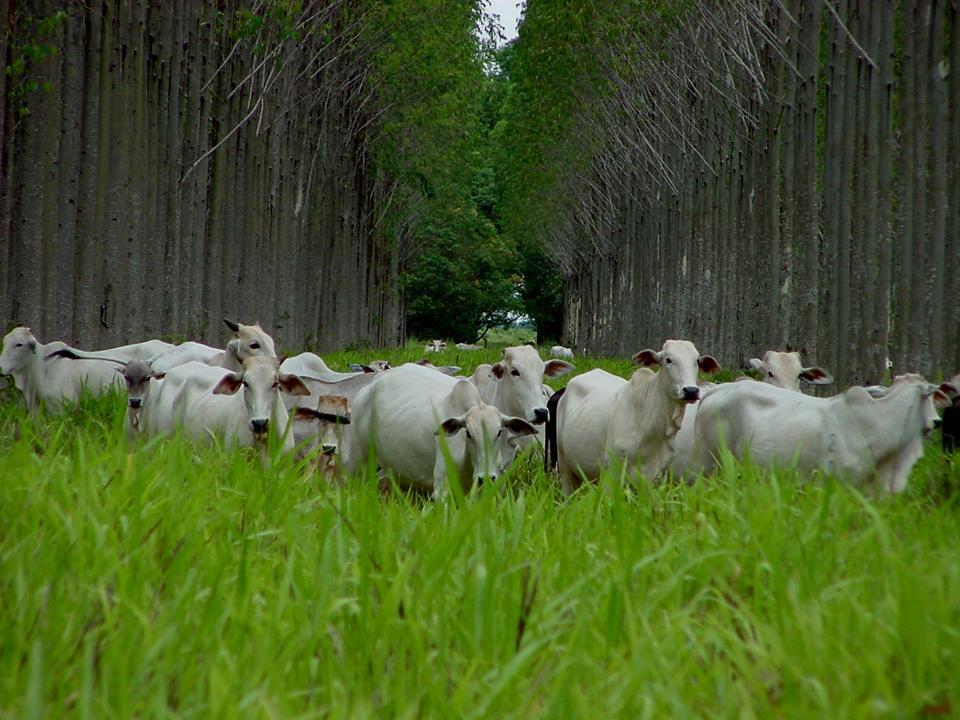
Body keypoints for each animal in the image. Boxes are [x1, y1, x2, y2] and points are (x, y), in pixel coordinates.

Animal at [344, 362, 540, 498]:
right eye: (468, 433)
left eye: (499, 432)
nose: (485, 478)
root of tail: (370, 385)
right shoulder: (441, 490)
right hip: (357, 463)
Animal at [556, 340, 720, 492]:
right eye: (668, 359)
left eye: (697, 361)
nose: (691, 391)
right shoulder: (610, 474)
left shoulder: (652, 479)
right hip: (564, 465)